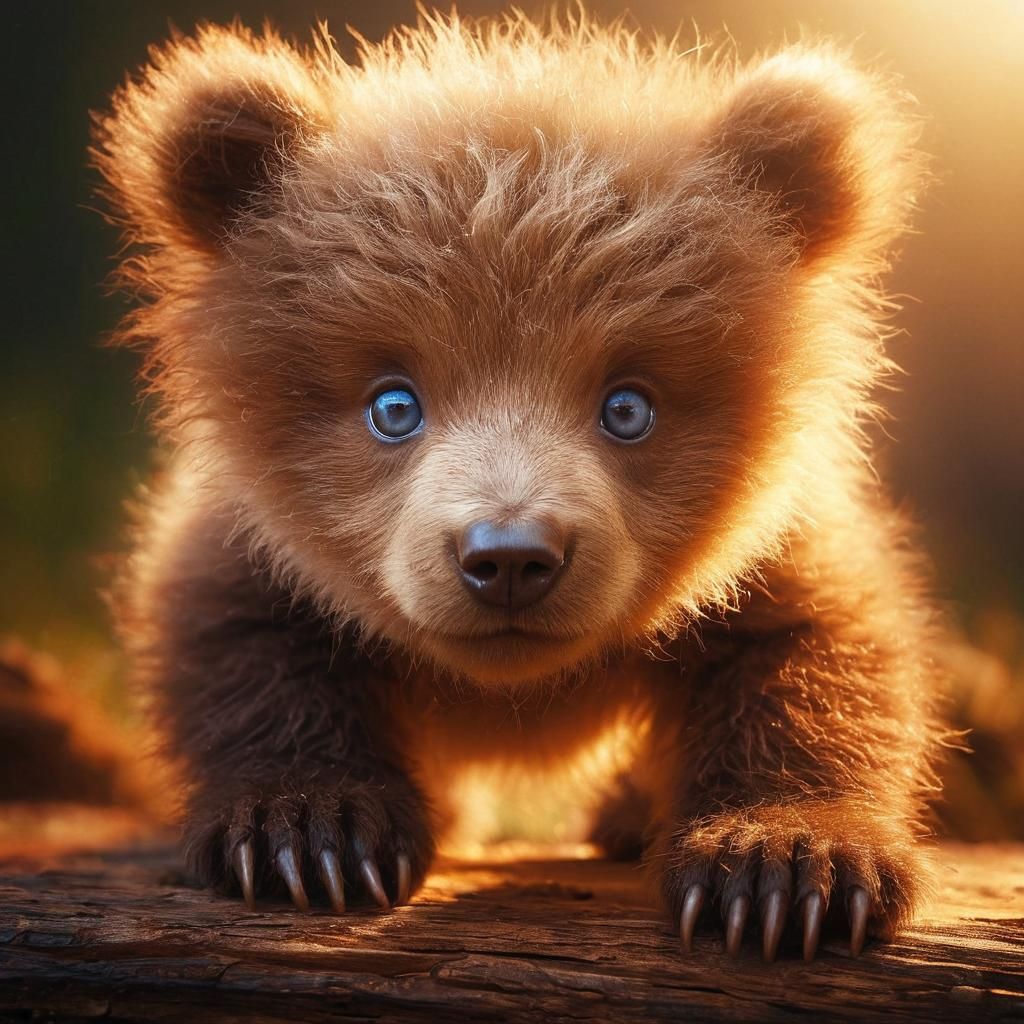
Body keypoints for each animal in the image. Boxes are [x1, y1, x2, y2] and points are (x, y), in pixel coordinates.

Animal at [92, 9, 946, 962]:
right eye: (394, 404)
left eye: (627, 406)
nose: (508, 556)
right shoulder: (260, 536)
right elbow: (238, 641)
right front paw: (308, 833)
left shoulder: (771, 541)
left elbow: (818, 652)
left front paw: (786, 867)